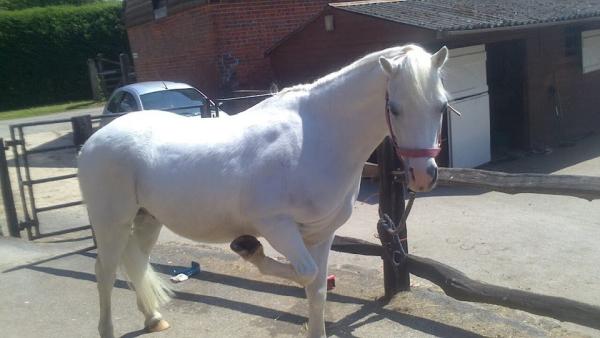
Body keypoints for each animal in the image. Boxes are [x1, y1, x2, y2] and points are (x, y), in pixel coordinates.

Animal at [77, 45, 448, 338]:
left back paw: (153, 318)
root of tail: (92, 142)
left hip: (147, 220)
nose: (422, 176)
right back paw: (107, 329)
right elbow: (307, 274)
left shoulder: (321, 233)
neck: (317, 137)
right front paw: (248, 249)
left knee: (135, 263)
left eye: (442, 106)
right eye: (395, 108)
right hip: (111, 223)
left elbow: (317, 290)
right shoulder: (277, 226)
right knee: (105, 272)